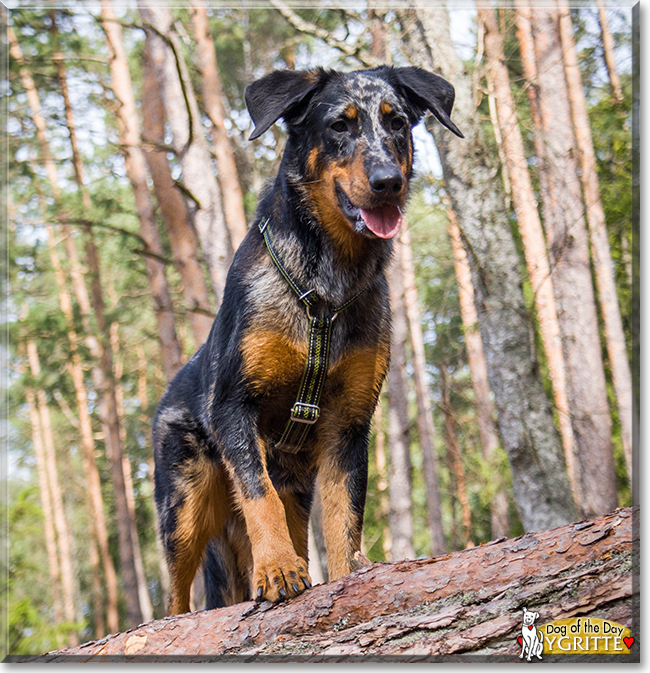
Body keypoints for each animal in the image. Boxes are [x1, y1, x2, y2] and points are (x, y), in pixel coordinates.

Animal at [152, 64, 460, 616]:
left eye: (397, 123)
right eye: (339, 125)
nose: (389, 181)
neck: (327, 280)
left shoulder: (349, 425)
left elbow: (344, 520)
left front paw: (345, 580)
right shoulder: (234, 407)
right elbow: (259, 495)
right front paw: (277, 569)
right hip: (184, 505)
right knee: (175, 598)